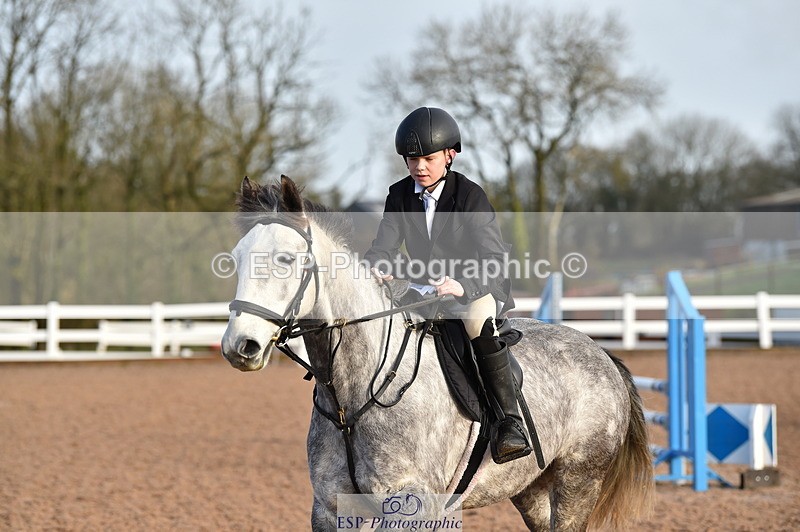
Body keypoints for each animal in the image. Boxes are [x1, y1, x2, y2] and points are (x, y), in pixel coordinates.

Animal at [221, 176, 654, 531]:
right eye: (237, 258)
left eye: (286, 259)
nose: (240, 347)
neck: (354, 397)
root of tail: (601, 354)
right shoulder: (330, 508)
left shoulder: (412, 505)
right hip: (530, 488)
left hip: (578, 482)